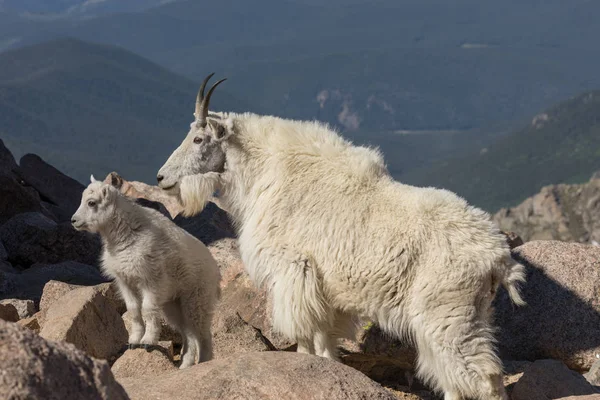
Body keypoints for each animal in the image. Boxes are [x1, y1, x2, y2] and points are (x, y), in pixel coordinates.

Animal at [70, 177, 220, 368]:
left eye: (91, 202)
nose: (74, 221)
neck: (124, 233)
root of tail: (216, 271)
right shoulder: (125, 280)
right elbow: (133, 309)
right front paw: (133, 341)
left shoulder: (151, 278)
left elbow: (147, 308)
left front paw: (148, 341)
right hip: (173, 303)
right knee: (188, 333)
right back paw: (186, 364)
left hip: (196, 297)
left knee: (200, 331)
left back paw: (200, 362)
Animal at [156, 73, 524, 398]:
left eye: (198, 139)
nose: (161, 178)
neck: (265, 170)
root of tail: (497, 257)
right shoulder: (325, 290)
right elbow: (325, 341)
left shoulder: (294, 271)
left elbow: (304, 335)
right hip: (475, 312)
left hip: (446, 312)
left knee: (480, 376)